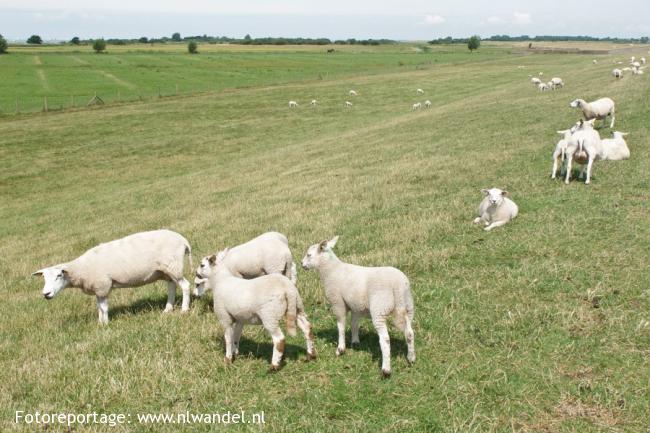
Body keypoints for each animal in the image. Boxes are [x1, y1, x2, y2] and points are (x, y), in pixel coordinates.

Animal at [32, 230, 191, 324]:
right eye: (44, 278)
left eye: (59, 275)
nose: (46, 293)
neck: (80, 269)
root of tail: (183, 239)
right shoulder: (98, 289)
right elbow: (99, 307)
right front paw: (100, 323)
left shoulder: (102, 285)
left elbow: (104, 307)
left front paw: (106, 324)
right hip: (166, 269)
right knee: (171, 286)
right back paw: (167, 309)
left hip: (174, 266)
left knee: (185, 286)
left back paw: (184, 310)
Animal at [300, 235, 412, 376]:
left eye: (309, 254)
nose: (301, 264)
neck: (331, 270)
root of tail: (398, 285)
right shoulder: (355, 305)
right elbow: (354, 324)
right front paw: (355, 342)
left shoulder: (338, 302)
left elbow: (341, 326)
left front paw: (340, 349)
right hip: (408, 306)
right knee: (409, 332)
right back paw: (411, 358)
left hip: (379, 308)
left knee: (385, 339)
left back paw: (386, 370)